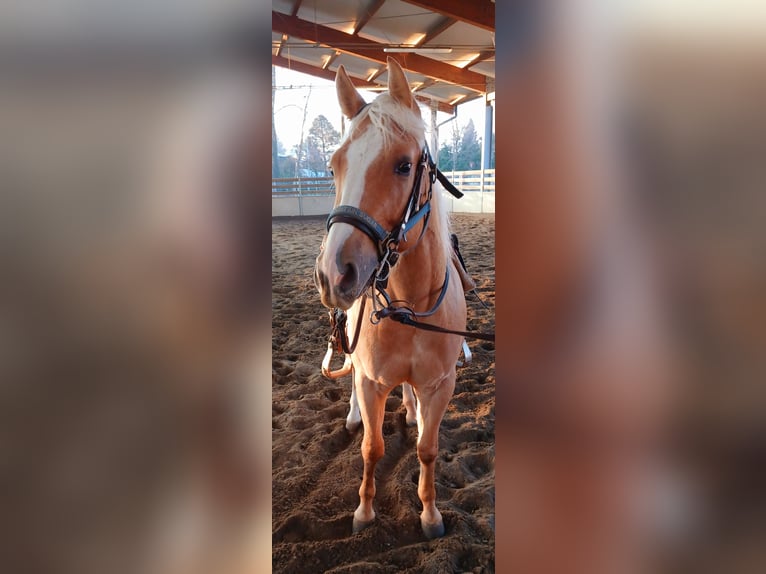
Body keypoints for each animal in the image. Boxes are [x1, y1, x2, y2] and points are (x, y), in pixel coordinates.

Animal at [313, 57, 467, 539]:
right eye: (334, 166)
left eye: (403, 165)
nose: (333, 273)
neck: (411, 308)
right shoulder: (371, 382)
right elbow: (372, 447)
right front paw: (364, 511)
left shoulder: (440, 385)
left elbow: (427, 449)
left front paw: (430, 514)